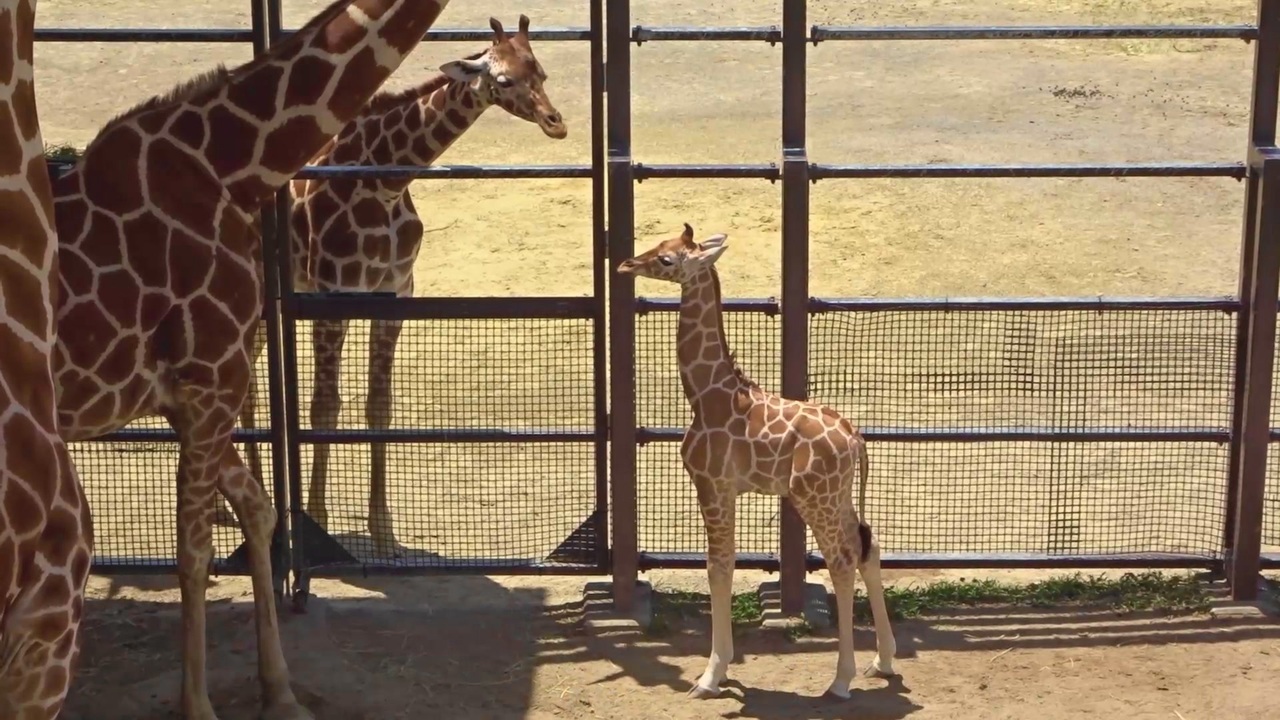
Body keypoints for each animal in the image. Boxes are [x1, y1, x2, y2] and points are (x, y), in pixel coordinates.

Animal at [48, 2, 460, 712]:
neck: (230, 161)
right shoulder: (210, 378)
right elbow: (194, 552)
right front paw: (198, 704)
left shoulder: (194, 390)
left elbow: (260, 510)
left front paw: (282, 691)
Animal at [611, 222, 896, 696]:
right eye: (660, 243)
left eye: (667, 259)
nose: (625, 264)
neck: (705, 396)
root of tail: (856, 439)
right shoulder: (725, 490)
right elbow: (722, 567)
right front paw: (720, 669)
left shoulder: (713, 486)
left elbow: (718, 568)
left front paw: (711, 675)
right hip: (837, 495)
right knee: (866, 546)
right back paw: (884, 661)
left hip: (812, 497)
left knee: (841, 560)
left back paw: (840, 680)